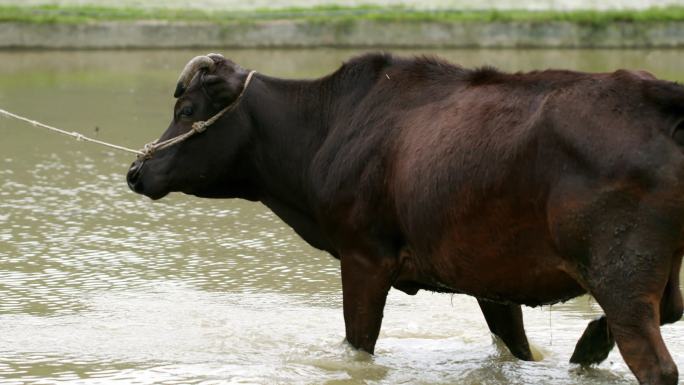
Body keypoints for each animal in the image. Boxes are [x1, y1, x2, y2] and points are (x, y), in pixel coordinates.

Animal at [128, 51, 684, 384]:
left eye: (187, 111)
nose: (137, 170)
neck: (321, 135)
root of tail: (655, 95)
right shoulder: (490, 275)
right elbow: (516, 348)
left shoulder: (364, 256)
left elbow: (358, 345)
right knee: (669, 312)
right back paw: (588, 345)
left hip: (619, 272)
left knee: (656, 363)